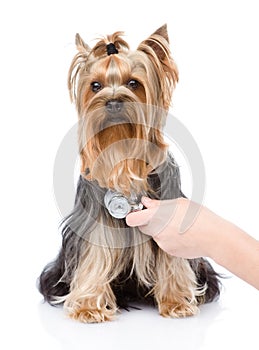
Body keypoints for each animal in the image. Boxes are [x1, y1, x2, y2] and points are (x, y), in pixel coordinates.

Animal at [39, 25, 221, 322]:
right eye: (95, 85)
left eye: (133, 83)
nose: (113, 101)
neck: (122, 160)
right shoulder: (94, 221)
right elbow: (94, 255)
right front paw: (89, 306)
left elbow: (172, 258)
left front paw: (176, 302)